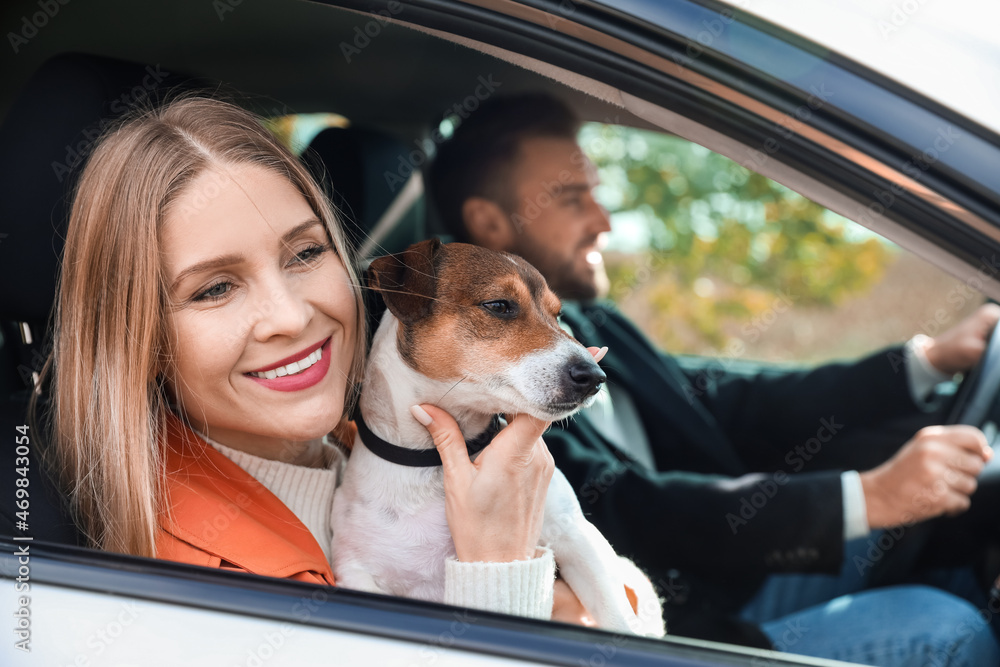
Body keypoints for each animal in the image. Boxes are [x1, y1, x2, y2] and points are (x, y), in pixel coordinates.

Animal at [332, 239, 668, 636]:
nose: (595, 377)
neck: (434, 459)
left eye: (557, 314)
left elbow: (617, 615)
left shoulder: (576, 534)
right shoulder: (356, 573)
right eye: (499, 306)